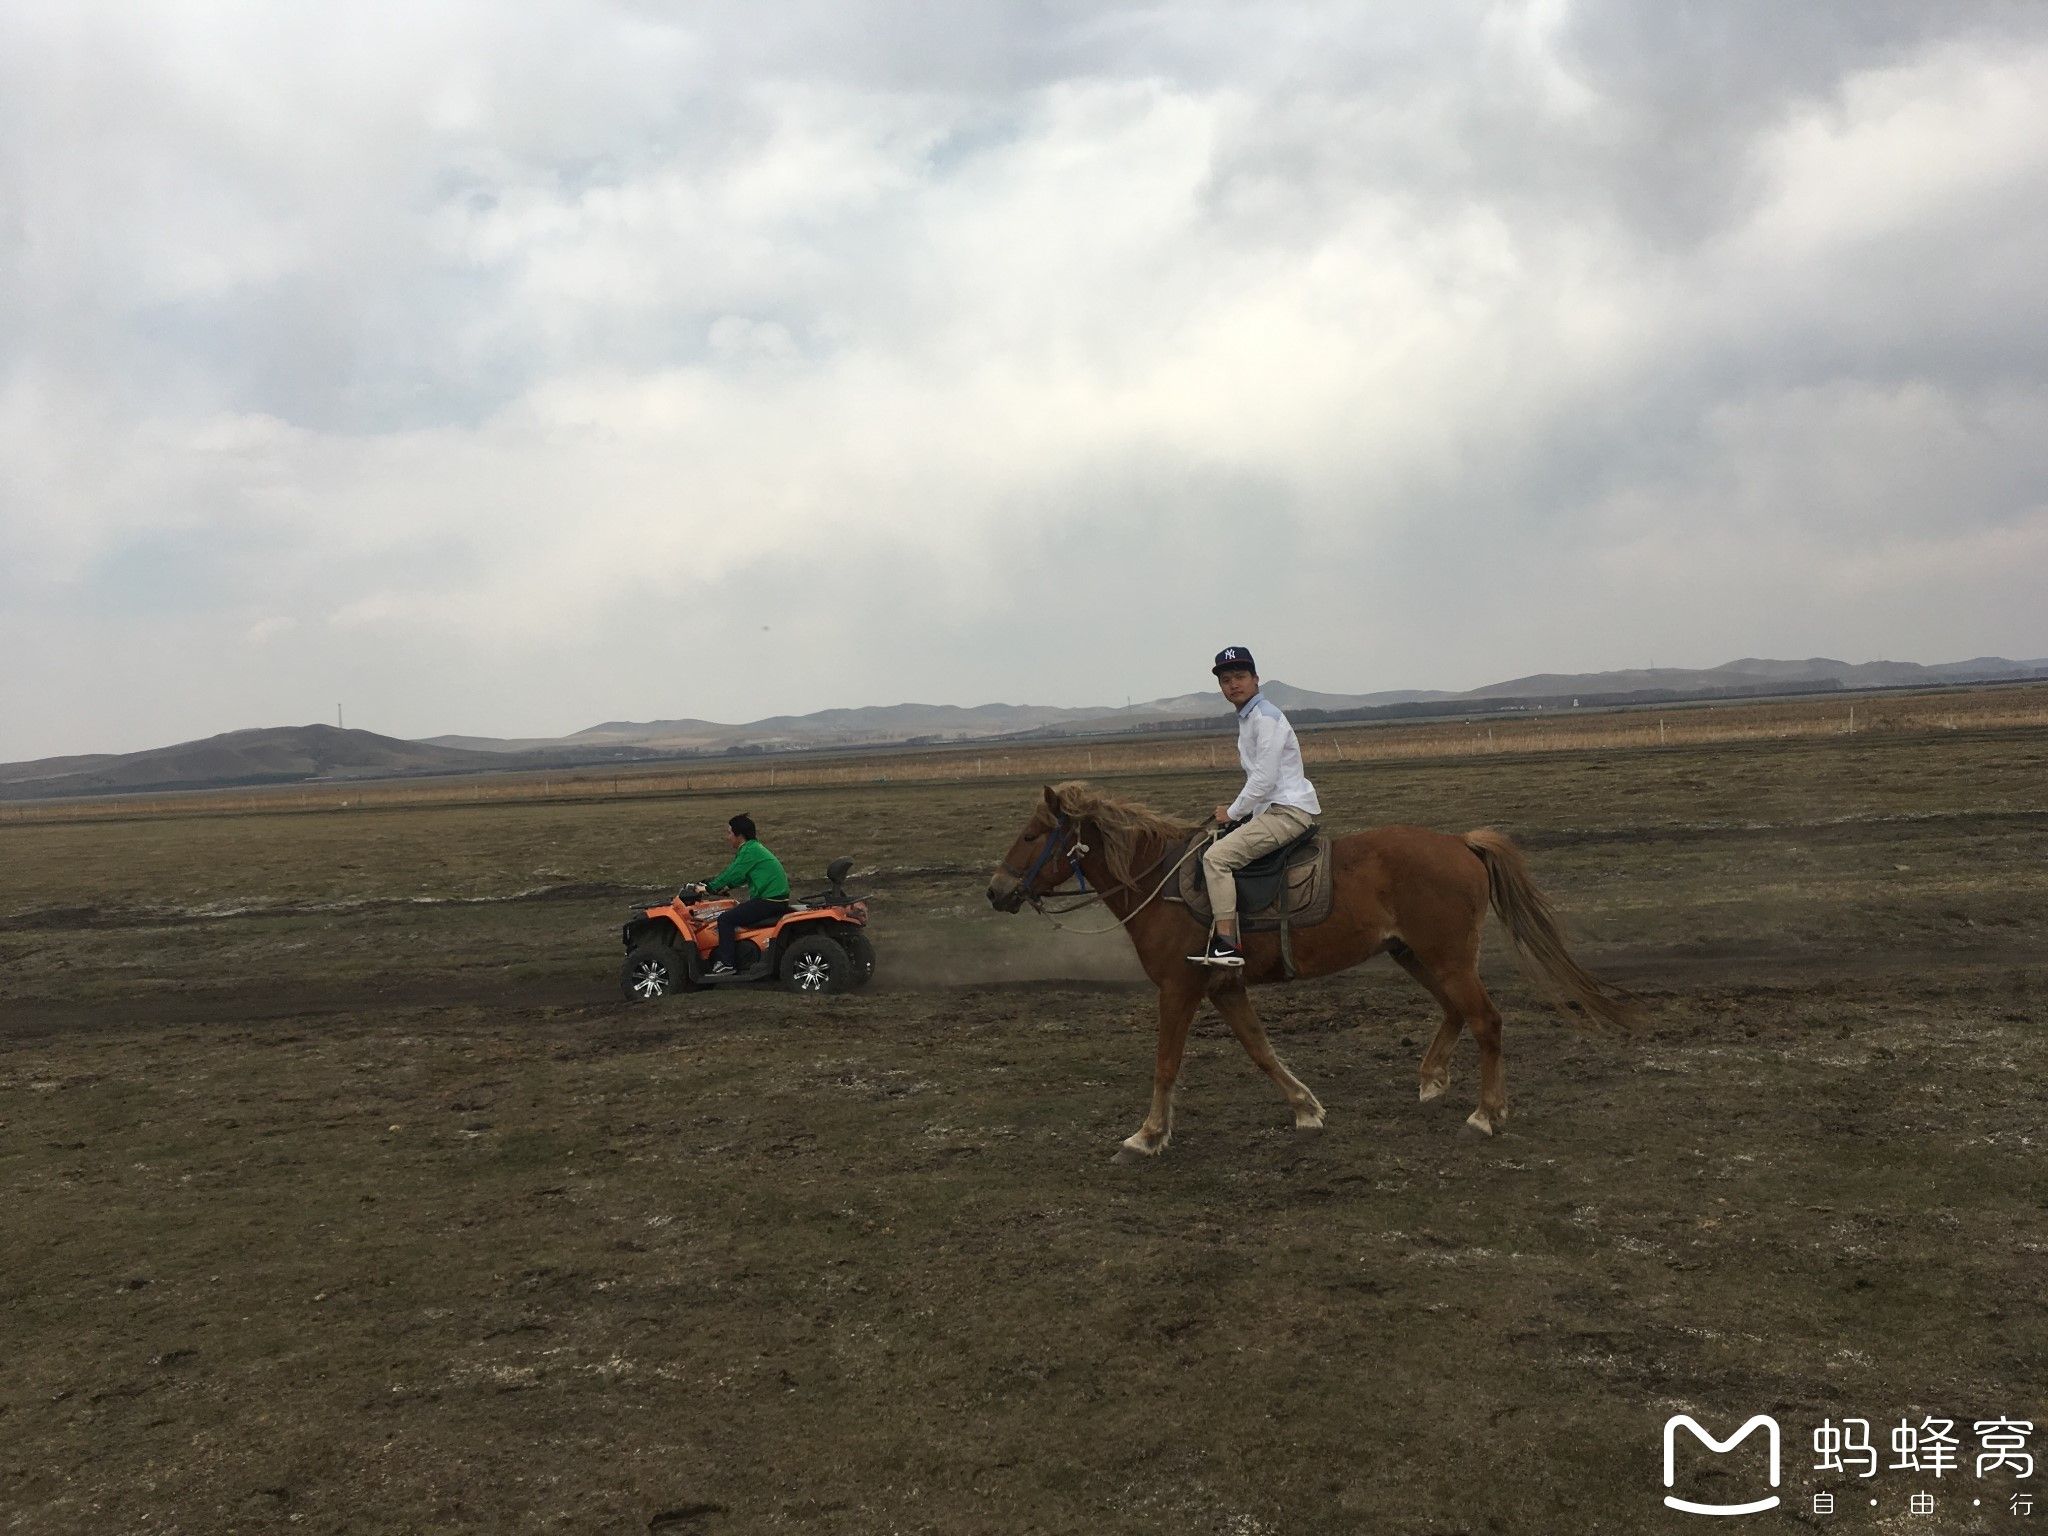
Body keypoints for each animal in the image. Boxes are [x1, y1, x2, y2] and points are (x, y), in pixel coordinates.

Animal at [983, 786, 1638, 1163]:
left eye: (1031, 834)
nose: (995, 891)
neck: (1160, 884)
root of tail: (1460, 842)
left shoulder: (1179, 989)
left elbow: (1166, 1064)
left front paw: (1146, 1137)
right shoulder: (1225, 987)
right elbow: (1261, 1050)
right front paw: (1305, 1109)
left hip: (1448, 958)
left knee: (1487, 1021)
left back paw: (1484, 1116)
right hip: (1414, 955)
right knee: (1458, 1012)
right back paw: (1433, 1080)